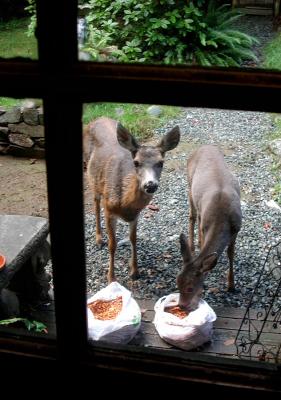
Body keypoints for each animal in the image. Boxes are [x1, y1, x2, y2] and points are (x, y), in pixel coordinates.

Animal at [86, 117, 180, 282]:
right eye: (136, 162)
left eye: (161, 162)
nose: (150, 184)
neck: (124, 203)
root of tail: (97, 119)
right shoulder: (109, 211)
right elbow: (112, 244)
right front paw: (111, 277)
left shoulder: (135, 216)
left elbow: (133, 239)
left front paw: (135, 272)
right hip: (91, 176)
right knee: (96, 204)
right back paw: (99, 239)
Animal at [177, 145, 241, 310]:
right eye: (177, 282)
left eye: (190, 288)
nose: (181, 306)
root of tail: (204, 146)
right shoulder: (207, 226)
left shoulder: (237, 229)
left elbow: (231, 254)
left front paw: (231, 285)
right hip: (189, 182)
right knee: (193, 216)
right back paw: (192, 246)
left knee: (198, 217)